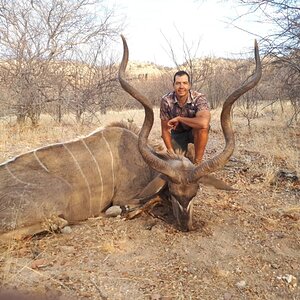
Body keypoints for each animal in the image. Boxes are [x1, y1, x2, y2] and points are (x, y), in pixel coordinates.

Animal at [0, 35, 262, 239]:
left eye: (195, 193)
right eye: (174, 193)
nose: (186, 226)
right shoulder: (125, 196)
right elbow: (137, 203)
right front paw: (117, 212)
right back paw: (63, 223)